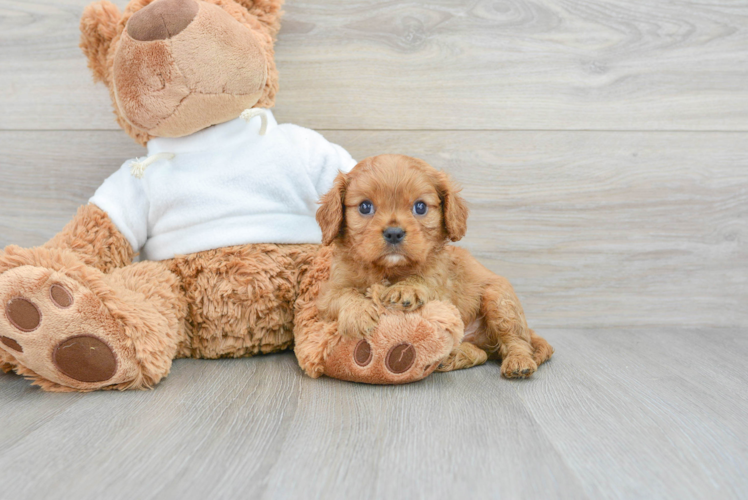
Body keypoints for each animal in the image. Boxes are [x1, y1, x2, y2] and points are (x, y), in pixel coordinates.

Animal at [312, 154, 552, 376]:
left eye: (420, 207)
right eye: (364, 207)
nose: (394, 233)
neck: (389, 269)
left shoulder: (441, 285)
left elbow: (423, 279)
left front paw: (405, 289)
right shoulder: (329, 292)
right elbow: (344, 295)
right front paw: (358, 313)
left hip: (500, 301)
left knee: (516, 341)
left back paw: (519, 362)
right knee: (482, 353)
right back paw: (454, 356)